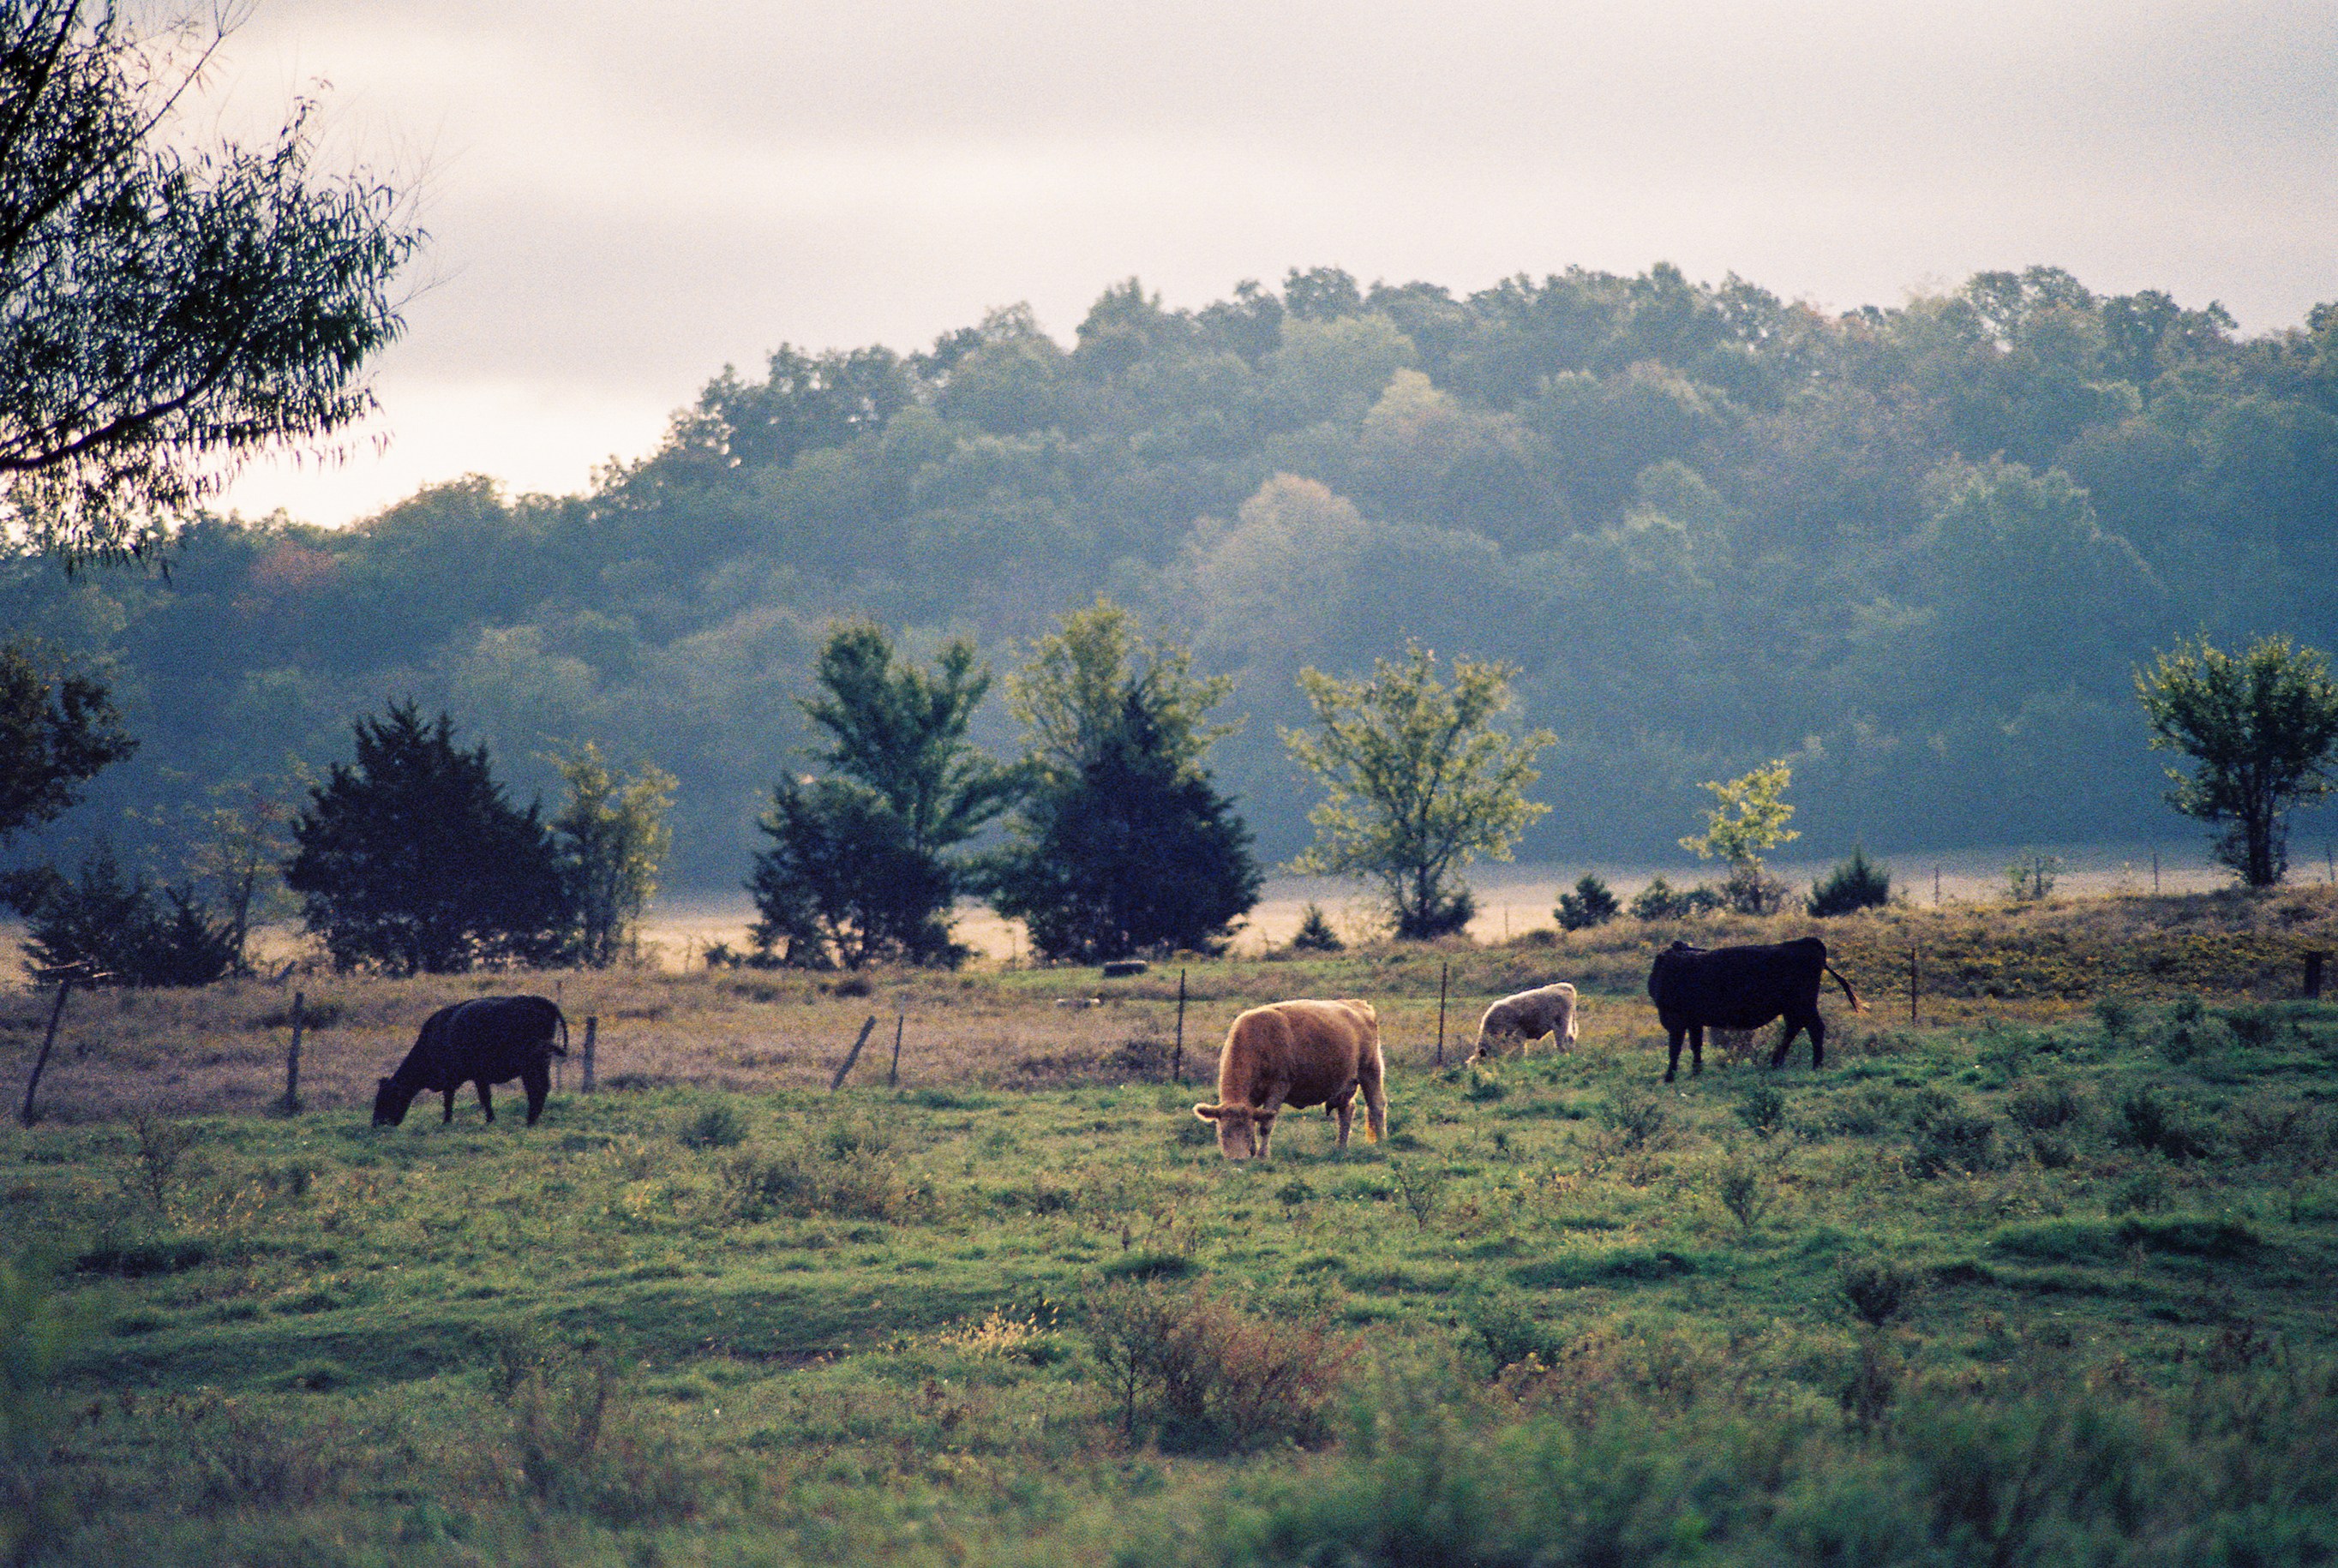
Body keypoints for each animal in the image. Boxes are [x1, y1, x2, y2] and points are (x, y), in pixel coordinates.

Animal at [373, 995, 570, 1128]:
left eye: (385, 1097)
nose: (375, 1123)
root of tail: (537, 1000)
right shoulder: (473, 1078)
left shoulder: (468, 1077)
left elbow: (464, 1099)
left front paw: (452, 1121)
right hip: (541, 1062)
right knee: (541, 1088)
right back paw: (532, 1119)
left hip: (531, 1064)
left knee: (536, 1088)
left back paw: (530, 1120)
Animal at [1193, 999, 1386, 1160]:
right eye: (1223, 1132)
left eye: (1246, 1133)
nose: (1237, 1159)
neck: (1257, 1039)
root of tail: (1358, 1004)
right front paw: (1253, 1150)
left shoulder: (1278, 1088)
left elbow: (1266, 1124)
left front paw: (1262, 1155)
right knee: (1346, 1110)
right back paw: (1341, 1147)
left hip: (1370, 1070)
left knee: (1376, 1105)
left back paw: (1381, 1142)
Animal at [1467, 983, 1579, 1063]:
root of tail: (1565, 986)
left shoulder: (1519, 1035)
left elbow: (1521, 1051)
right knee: (1570, 1039)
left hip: (1561, 1024)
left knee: (1562, 1042)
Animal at [1647, 937, 1861, 1082]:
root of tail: (1806, 942)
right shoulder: (1694, 1021)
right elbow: (1696, 1045)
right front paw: (1696, 1071)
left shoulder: (1675, 1020)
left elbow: (1674, 1049)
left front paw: (1669, 1076)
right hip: (1794, 1008)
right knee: (1796, 1028)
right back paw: (1778, 1062)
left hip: (1802, 1005)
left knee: (1813, 1028)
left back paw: (1814, 1065)